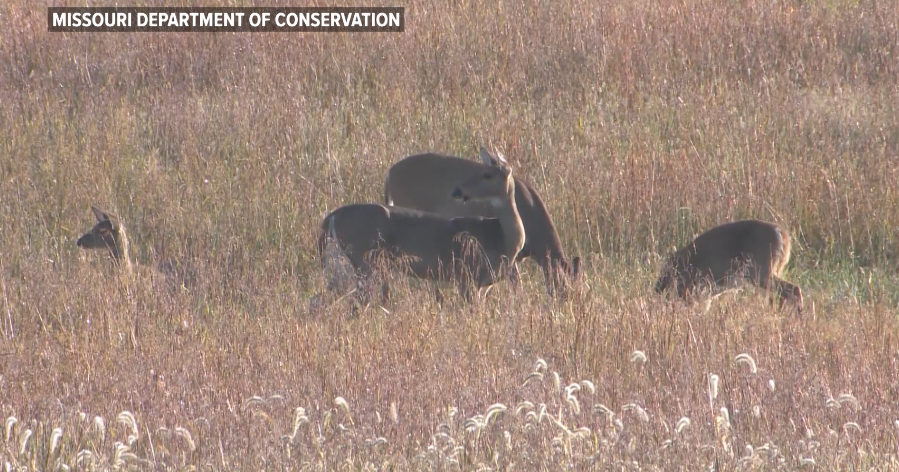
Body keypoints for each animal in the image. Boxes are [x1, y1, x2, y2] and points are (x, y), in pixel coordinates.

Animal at [318, 147, 526, 304]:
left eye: (488, 175)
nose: (457, 191)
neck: (502, 238)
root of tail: (332, 218)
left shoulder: (481, 285)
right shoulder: (467, 277)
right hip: (364, 261)